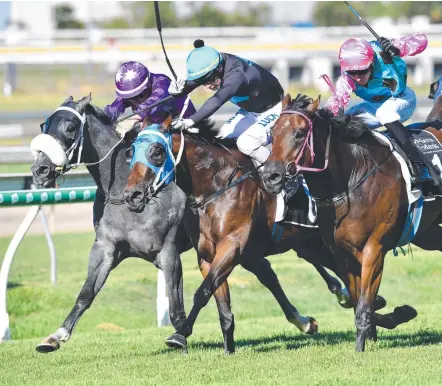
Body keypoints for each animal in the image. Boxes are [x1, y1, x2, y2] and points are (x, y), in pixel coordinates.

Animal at [123, 115, 400, 352]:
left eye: (156, 151)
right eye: (131, 153)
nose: (131, 195)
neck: (216, 186)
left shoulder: (232, 246)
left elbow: (202, 292)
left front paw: (180, 334)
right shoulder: (209, 256)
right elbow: (221, 301)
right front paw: (228, 349)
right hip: (314, 244)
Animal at [260, 92, 442, 352]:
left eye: (300, 133)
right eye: (272, 132)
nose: (270, 176)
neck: (350, 184)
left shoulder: (374, 249)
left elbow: (364, 305)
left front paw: (361, 348)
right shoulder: (341, 253)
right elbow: (358, 301)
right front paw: (395, 317)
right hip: (427, 233)